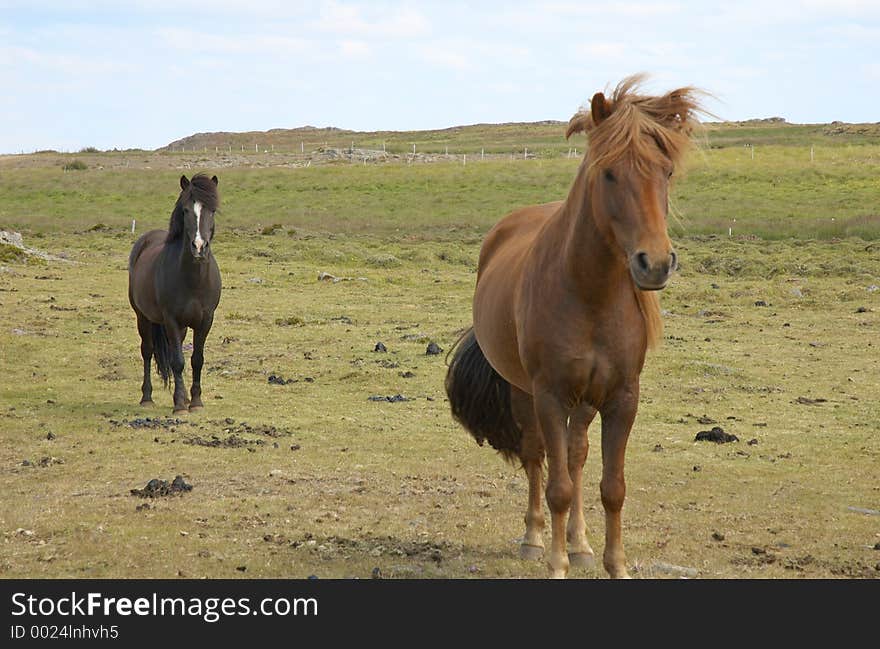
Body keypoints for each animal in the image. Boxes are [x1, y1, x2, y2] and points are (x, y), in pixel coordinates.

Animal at [128, 175, 222, 412]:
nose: (199, 246)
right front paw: (179, 404)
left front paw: (195, 401)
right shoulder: (170, 319)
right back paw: (147, 397)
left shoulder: (205, 320)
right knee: (147, 351)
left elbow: (197, 359)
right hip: (143, 317)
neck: (193, 280)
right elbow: (177, 361)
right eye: (186, 210)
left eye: (212, 210)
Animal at [446, 76, 708, 576]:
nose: (654, 263)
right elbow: (558, 488)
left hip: (586, 400)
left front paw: (613, 563)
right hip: (525, 390)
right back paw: (534, 539)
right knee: (537, 456)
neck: (590, 294)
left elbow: (612, 486)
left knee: (576, 455)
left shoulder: (622, 397)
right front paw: (555, 563)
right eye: (609, 174)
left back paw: (580, 542)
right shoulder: (549, 394)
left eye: (665, 172)